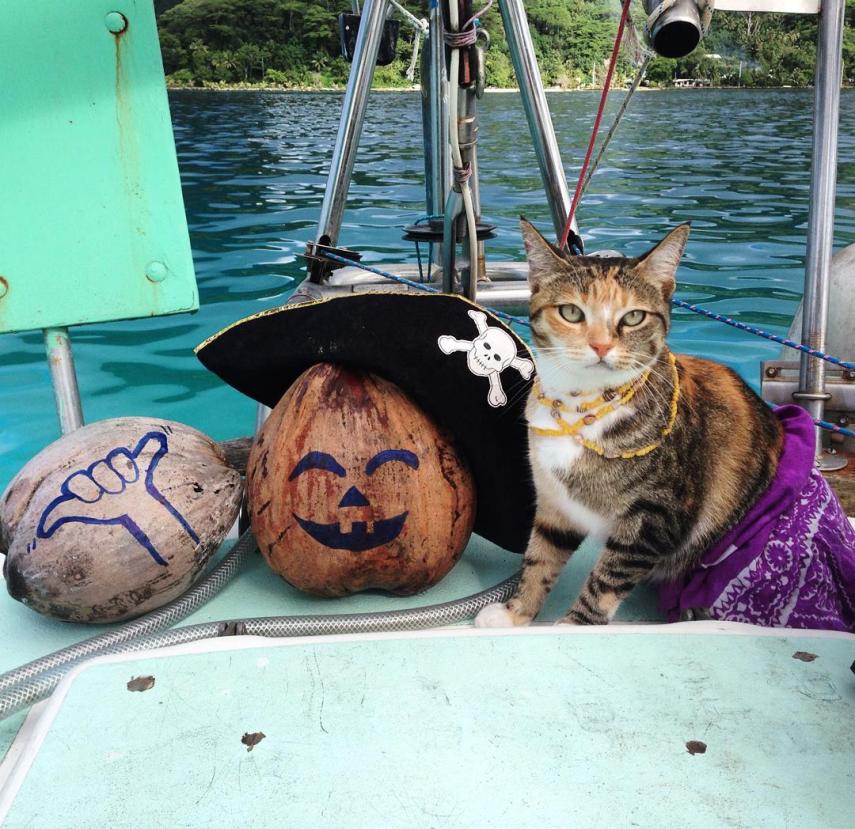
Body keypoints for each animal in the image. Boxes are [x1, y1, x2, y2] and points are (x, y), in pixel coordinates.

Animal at [474, 220, 788, 628]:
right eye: (571, 312)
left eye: (634, 317)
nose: (601, 346)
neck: (580, 404)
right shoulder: (555, 503)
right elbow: (540, 556)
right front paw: (516, 613)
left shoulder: (655, 518)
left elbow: (606, 581)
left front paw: (573, 625)